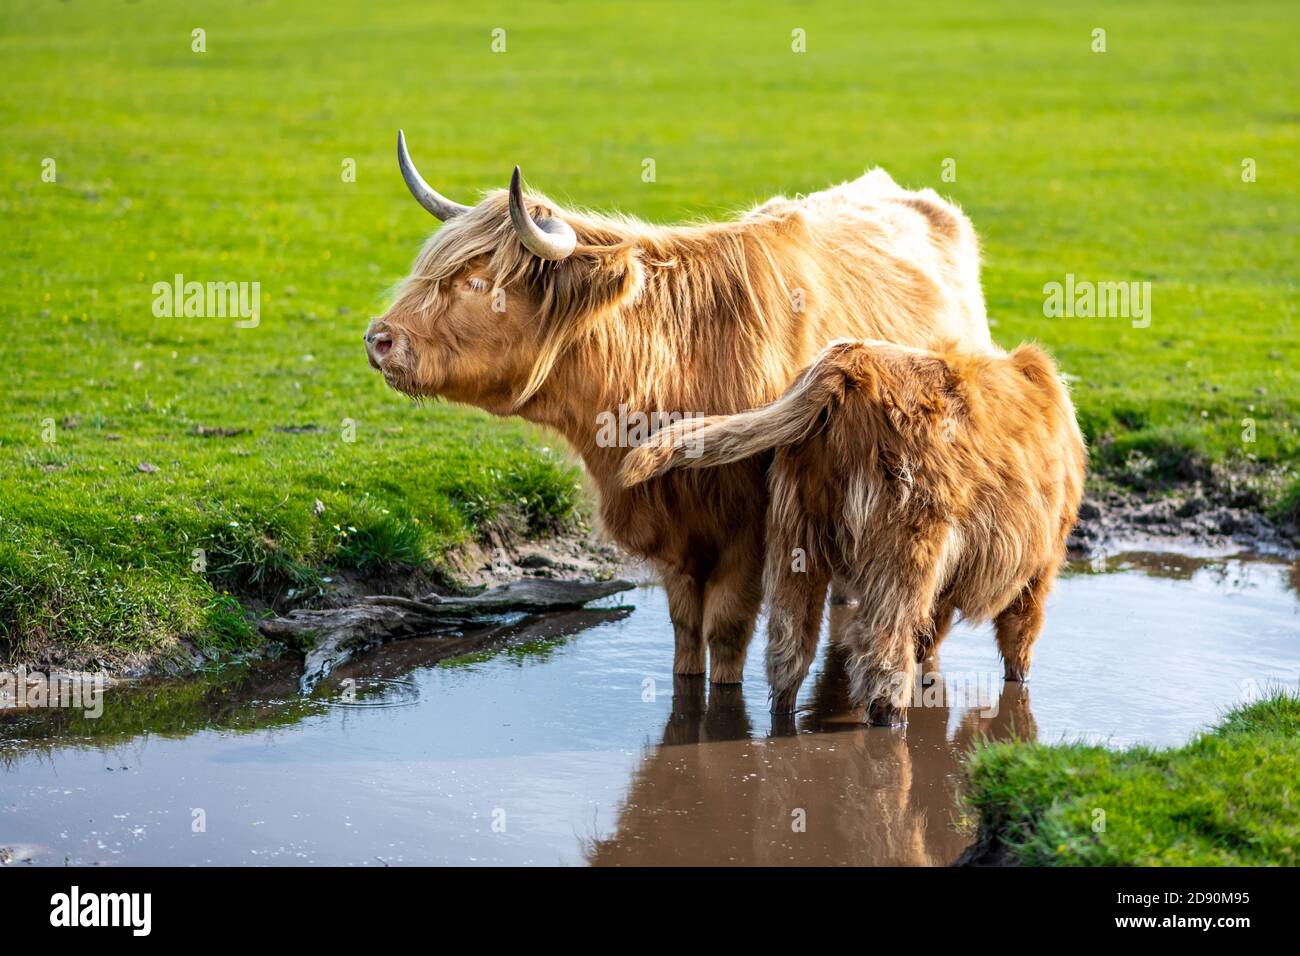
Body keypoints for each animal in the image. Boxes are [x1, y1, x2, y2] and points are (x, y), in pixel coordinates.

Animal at [365, 131, 991, 688]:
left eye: (477, 282)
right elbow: (686, 630)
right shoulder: (671, 535)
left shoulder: (749, 532)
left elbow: (726, 632)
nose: (378, 338)